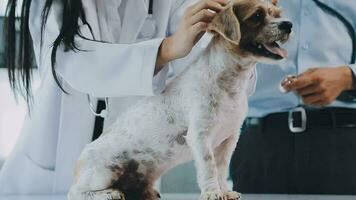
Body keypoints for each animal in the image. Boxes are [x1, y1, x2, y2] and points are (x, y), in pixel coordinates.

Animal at [68, 0, 290, 200]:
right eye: (257, 15)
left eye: (278, 13)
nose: (288, 24)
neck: (230, 82)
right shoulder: (200, 136)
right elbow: (209, 167)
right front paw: (212, 193)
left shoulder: (229, 139)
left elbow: (220, 168)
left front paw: (225, 191)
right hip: (104, 171)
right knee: (75, 192)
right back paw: (108, 193)